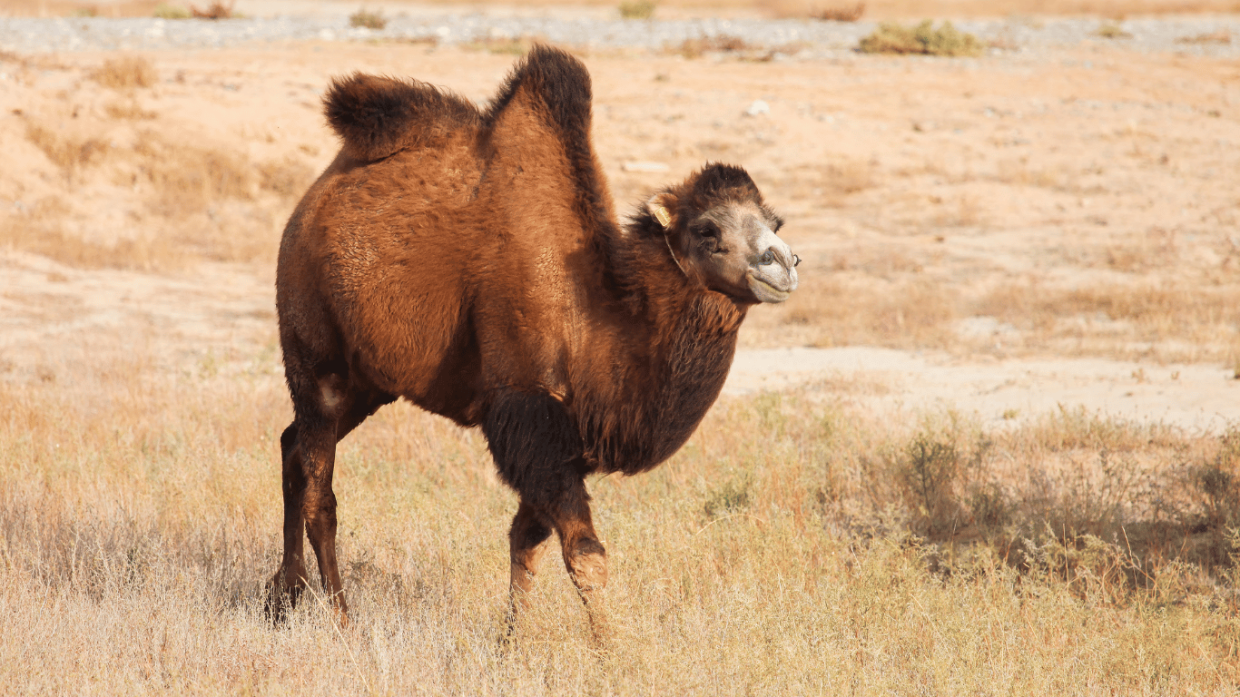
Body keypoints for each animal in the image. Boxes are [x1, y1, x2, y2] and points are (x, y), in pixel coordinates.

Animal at [266, 42, 798, 630]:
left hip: (370, 382)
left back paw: (282, 598)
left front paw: (513, 638)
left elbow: (526, 540)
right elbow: (585, 553)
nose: (783, 263)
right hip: (317, 356)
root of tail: (315, 198)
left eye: (775, 221)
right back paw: (340, 616)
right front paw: (613, 648)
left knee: (292, 446)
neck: (600, 307)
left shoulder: (563, 435)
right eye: (707, 229)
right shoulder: (527, 409)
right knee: (320, 491)